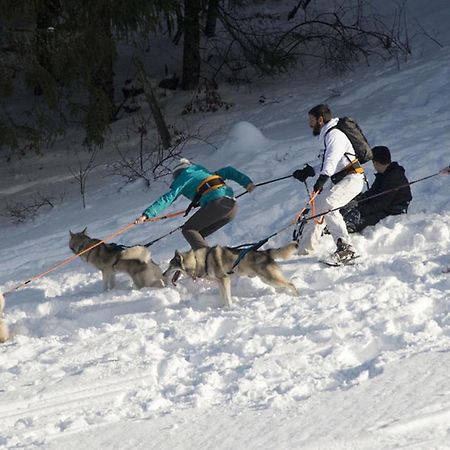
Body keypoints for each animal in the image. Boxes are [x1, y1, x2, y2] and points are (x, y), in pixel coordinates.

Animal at [164, 241, 298, 308]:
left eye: (171, 266)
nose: (164, 274)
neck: (197, 261)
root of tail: (266, 252)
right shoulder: (220, 282)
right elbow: (223, 296)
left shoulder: (224, 279)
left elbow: (227, 298)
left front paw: (230, 308)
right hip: (268, 280)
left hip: (270, 279)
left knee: (291, 284)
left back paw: (297, 296)